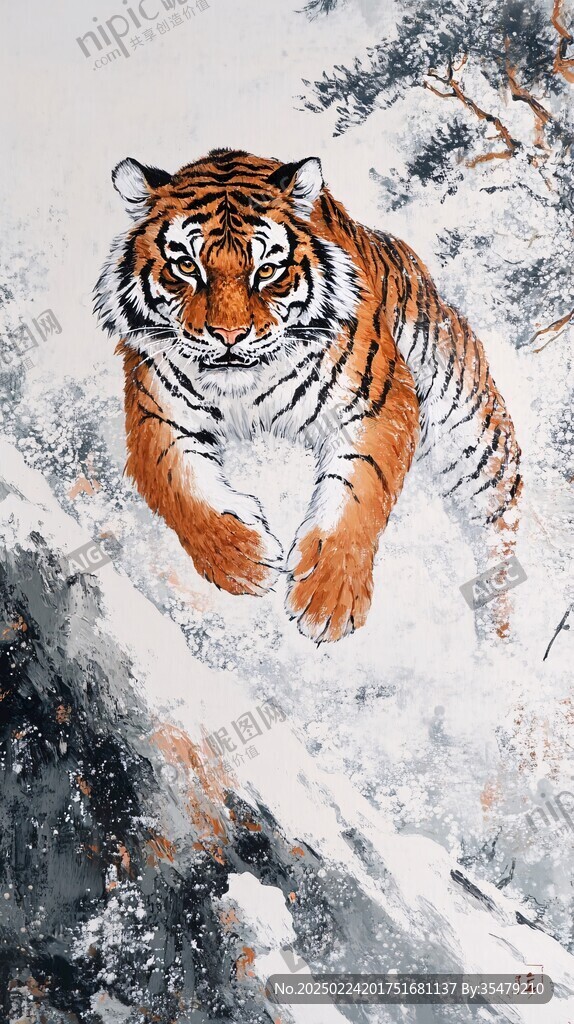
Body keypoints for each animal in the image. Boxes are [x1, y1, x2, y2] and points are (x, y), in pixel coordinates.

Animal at [95, 148, 521, 643]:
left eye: (266, 271)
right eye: (187, 267)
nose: (229, 336)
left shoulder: (376, 404)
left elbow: (358, 492)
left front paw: (329, 597)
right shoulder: (157, 414)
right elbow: (178, 484)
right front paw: (242, 559)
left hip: (473, 446)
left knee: (500, 535)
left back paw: (502, 634)